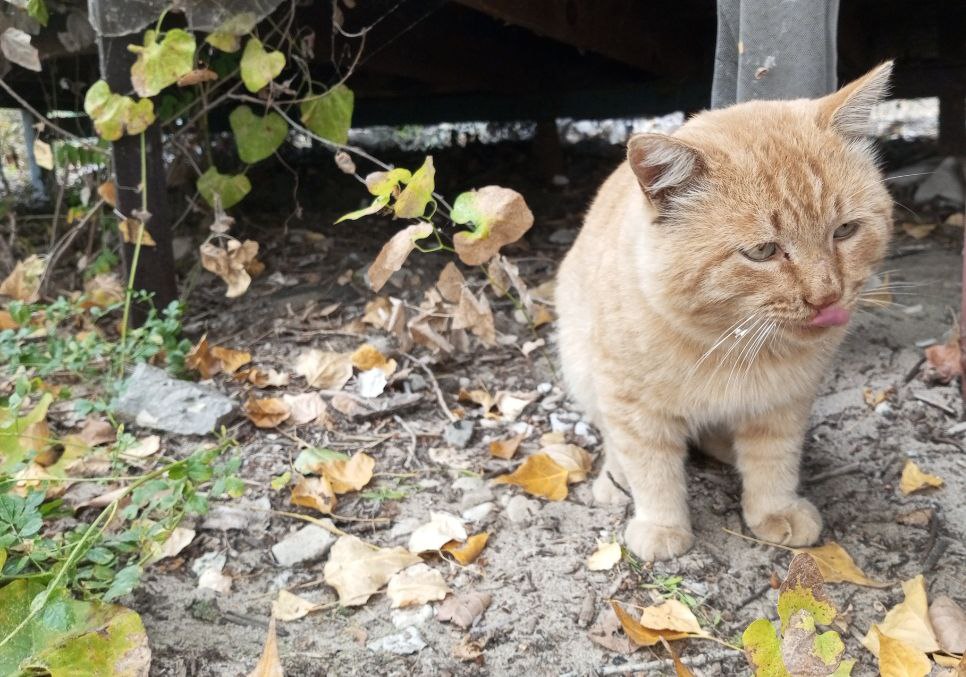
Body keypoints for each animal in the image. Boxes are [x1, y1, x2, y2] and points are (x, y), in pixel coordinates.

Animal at [556, 62, 896, 560]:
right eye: (763, 251)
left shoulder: (785, 402)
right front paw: (660, 525)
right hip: (580, 365)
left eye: (845, 231)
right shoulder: (629, 400)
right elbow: (649, 465)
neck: (728, 343)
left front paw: (775, 509)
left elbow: (773, 457)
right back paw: (612, 483)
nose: (827, 296)